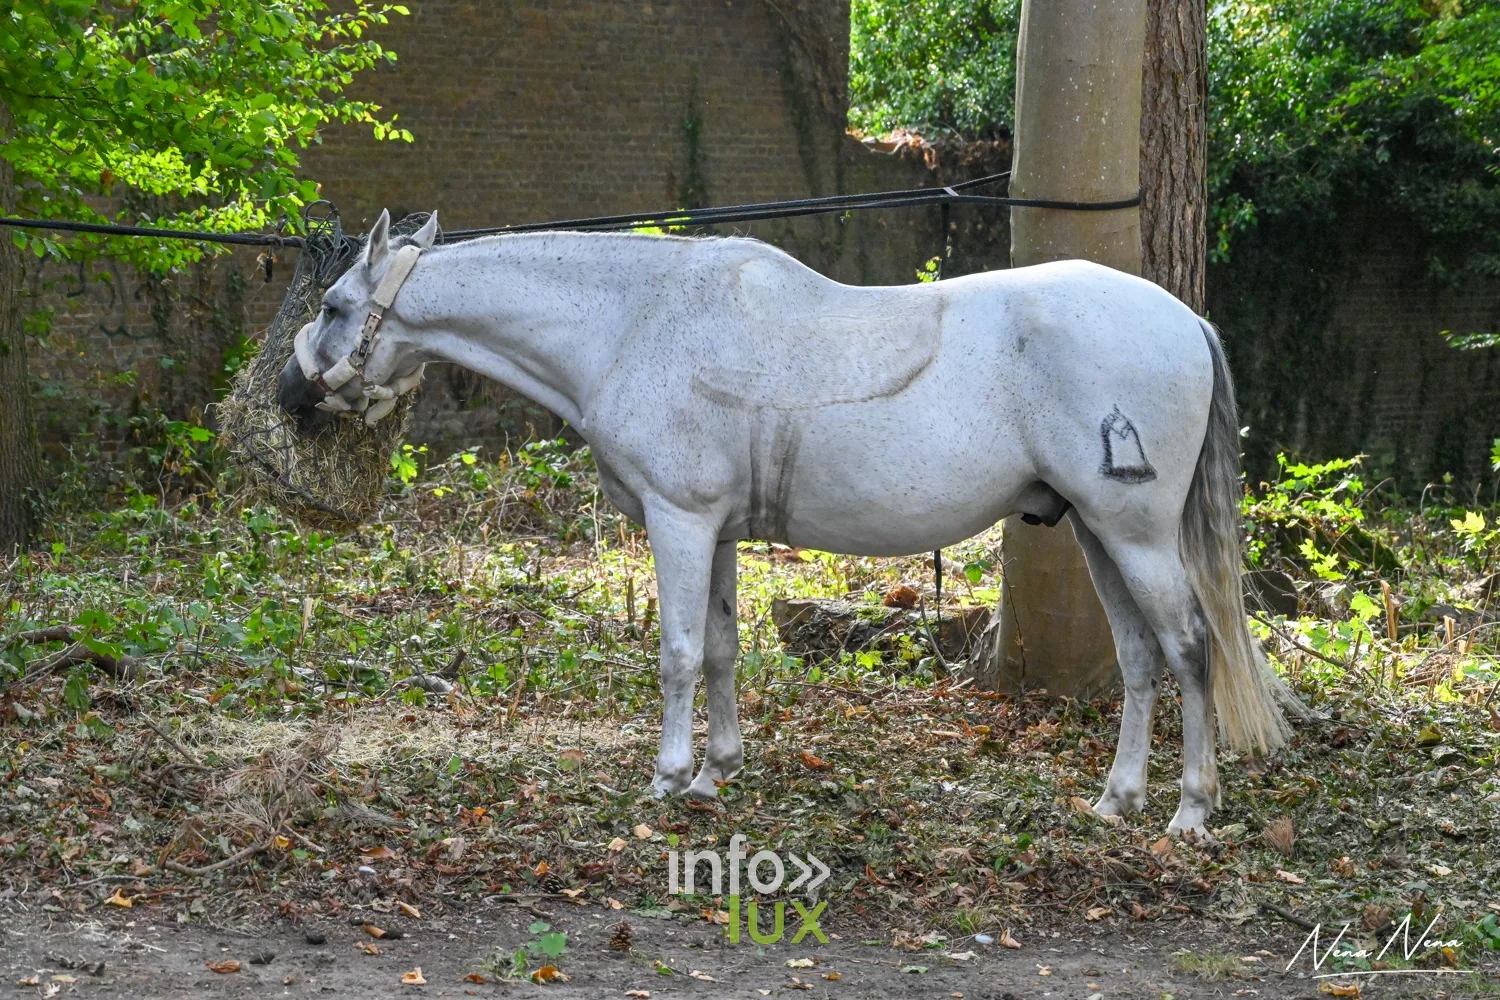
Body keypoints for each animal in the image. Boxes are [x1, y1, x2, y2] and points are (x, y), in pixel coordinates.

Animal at [279, 209, 1306, 838]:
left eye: (333, 305)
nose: (291, 392)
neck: (634, 322)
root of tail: (1185, 321)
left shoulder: (679, 520)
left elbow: (679, 653)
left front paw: (667, 778)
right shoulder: (720, 532)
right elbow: (724, 649)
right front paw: (717, 773)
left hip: (1135, 533)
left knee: (1190, 649)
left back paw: (1189, 810)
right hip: (1096, 531)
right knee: (1139, 659)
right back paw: (1117, 798)